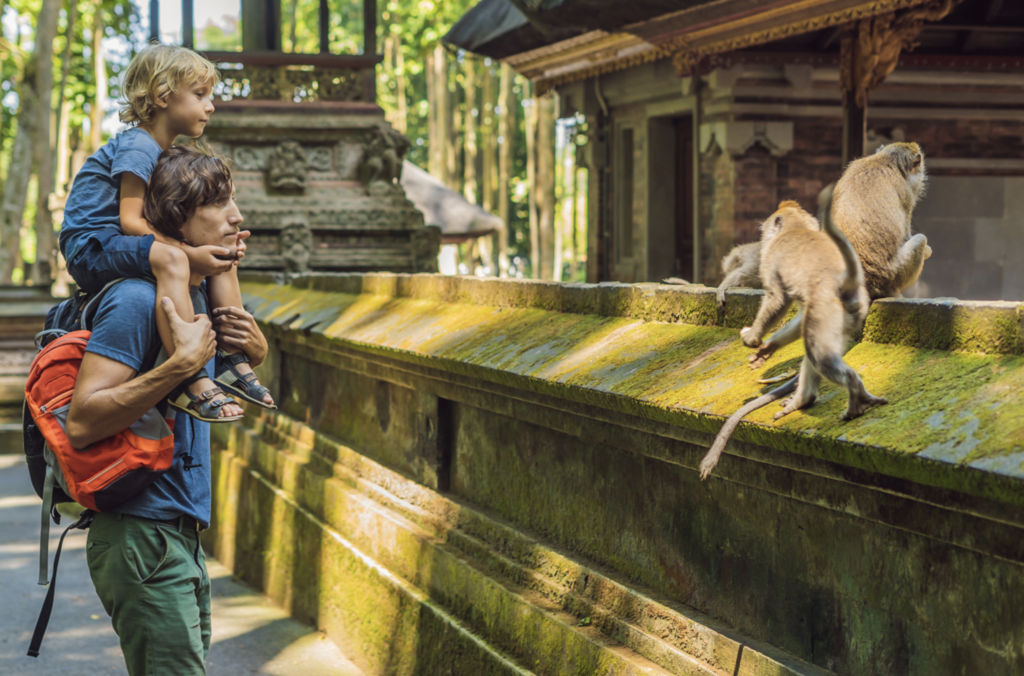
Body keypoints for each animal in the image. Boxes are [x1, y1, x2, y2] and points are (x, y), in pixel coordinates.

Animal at [698, 188, 887, 481]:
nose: (764, 236)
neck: (797, 228)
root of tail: (846, 283)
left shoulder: (771, 261)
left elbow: (778, 299)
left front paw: (754, 337)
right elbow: (796, 319)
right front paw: (767, 349)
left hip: (825, 311)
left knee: (819, 355)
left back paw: (854, 394)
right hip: (846, 317)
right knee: (813, 350)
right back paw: (803, 400)